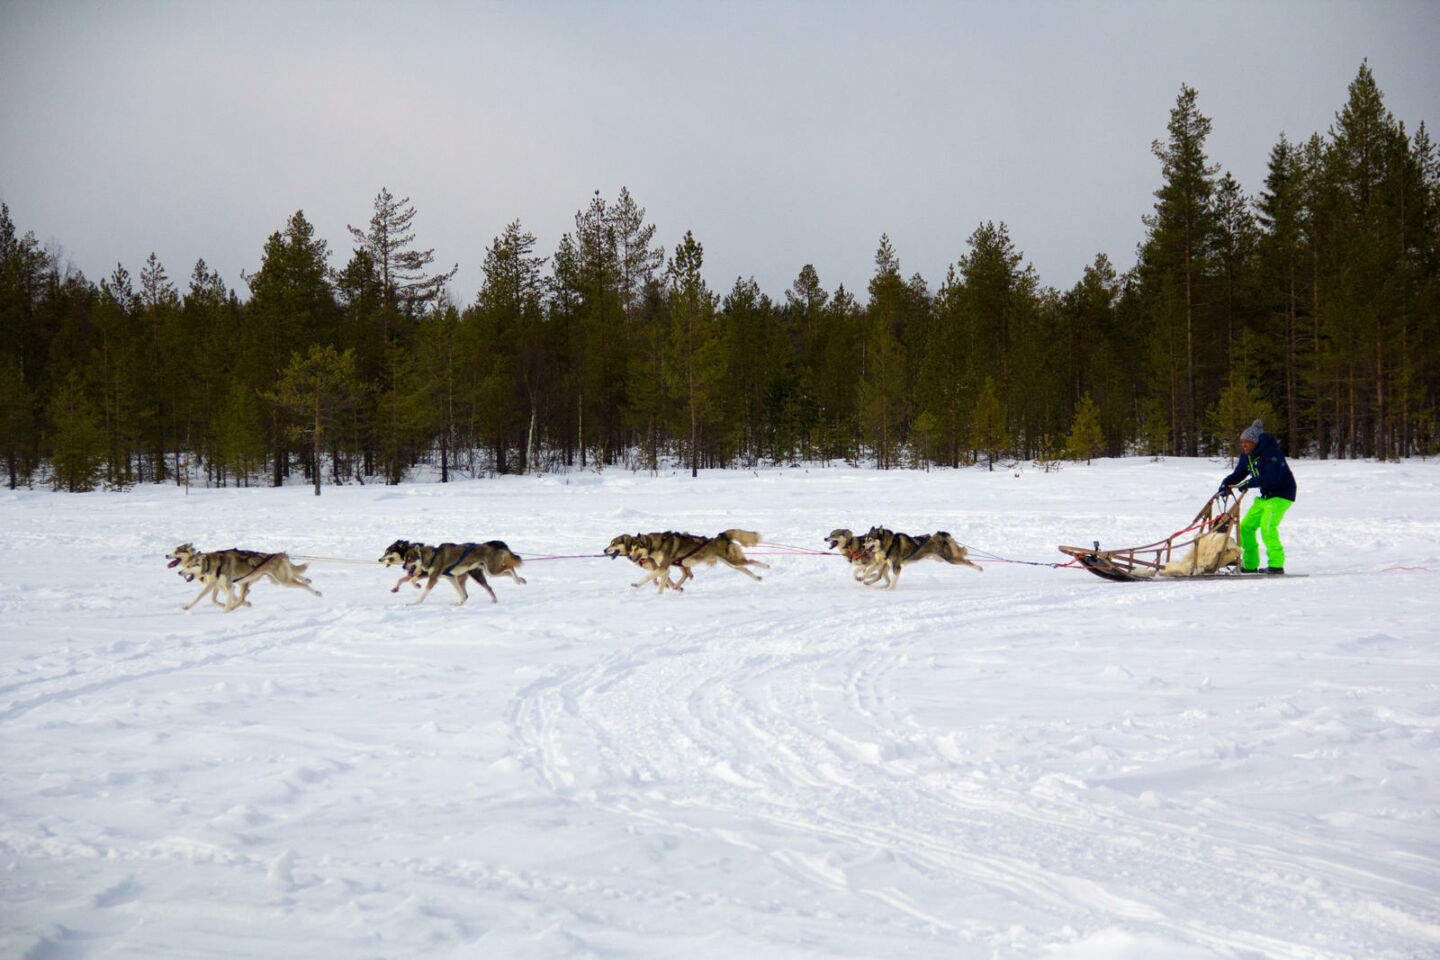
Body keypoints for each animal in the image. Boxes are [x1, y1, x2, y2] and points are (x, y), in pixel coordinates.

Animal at [165, 544, 321, 613]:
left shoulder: (223, 585)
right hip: (275, 579)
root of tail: (279, 554)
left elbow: (202, 597)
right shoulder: (219, 585)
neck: (209, 564)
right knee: (295, 574)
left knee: (302, 584)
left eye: (176, 551)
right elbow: (217, 599)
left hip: (282, 581)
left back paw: (316, 593)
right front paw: (237, 605)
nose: (180, 572)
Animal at [377, 538, 524, 604]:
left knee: (510, 568)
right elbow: (403, 579)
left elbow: (419, 588)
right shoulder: (450, 577)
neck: (432, 556)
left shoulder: (432, 577)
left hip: (492, 570)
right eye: (406, 559)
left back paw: (519, 580)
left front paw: (415, 602)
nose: (379, 559)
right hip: (484, 573)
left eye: (388, 551)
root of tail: (490, 543)